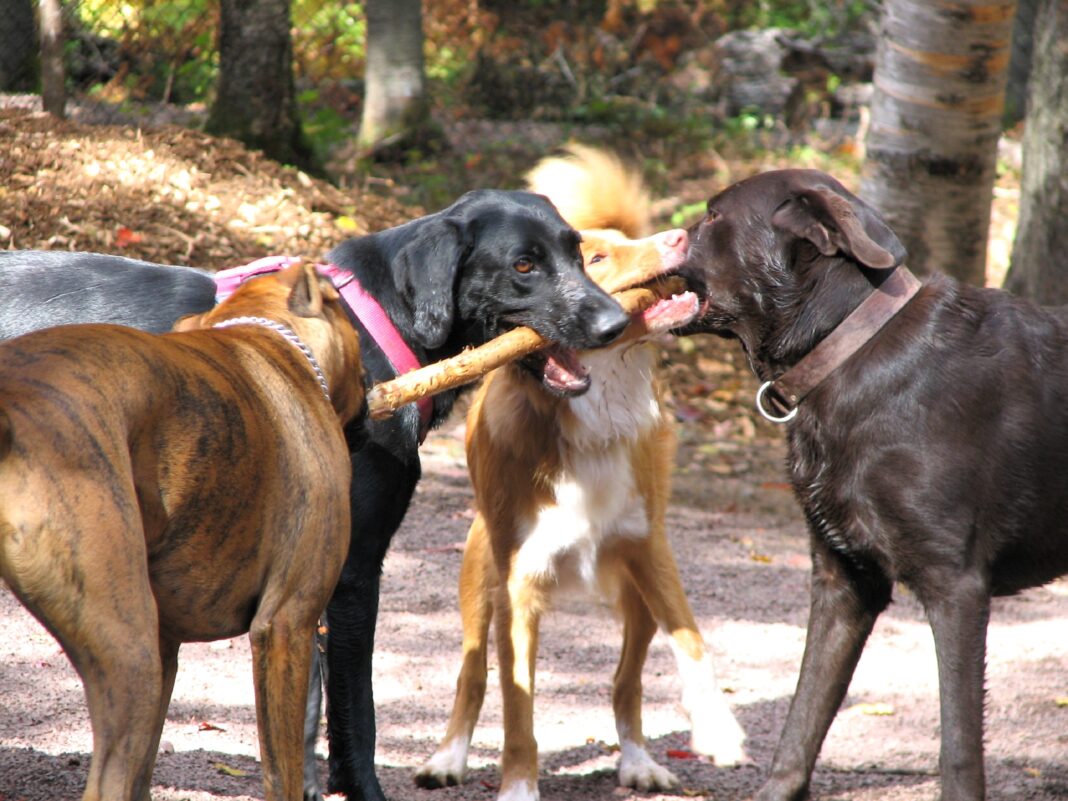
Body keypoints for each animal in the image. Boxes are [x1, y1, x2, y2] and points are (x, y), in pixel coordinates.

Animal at [0, 190, 623, 801]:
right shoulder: (352, 572)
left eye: (578, 252)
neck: (380, 322)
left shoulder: (304, 588)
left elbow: (304, 717)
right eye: (524, 265)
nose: (617, 322)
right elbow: (356, 711)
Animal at [412, 146, 747, 801]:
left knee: (626, 680)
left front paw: (717, 729)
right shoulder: (519, 583)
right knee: (471, 674)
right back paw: (448, 757)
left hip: (636, 594)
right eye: (597, 259)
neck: (591, 410)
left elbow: (691, 639)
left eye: (624, 242)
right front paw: (518, 785)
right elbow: (518, 705)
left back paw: (639, 760)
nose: (680, 236)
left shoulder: (651, 548)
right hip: (478, 574)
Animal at [679, 166, 1068, 798]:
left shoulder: (956, 586)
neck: (847, 351)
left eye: (713, 217)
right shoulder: (845, 583)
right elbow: (799, 727)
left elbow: (958, 750)